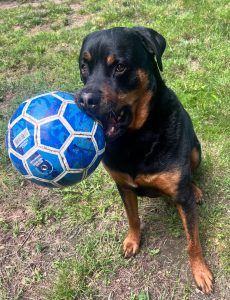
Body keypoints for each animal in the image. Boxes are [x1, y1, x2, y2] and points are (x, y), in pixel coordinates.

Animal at [76, 27, 214, 294]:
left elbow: (193, 240)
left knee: (191, 173)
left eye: (120, 66)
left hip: (195, 150)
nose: (84, 99)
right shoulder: (122, 185)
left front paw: (201, 271)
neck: (135, 138)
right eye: (84, 67)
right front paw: (133, 240)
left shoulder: (182, 197)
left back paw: (196, 190)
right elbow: (133, 217)